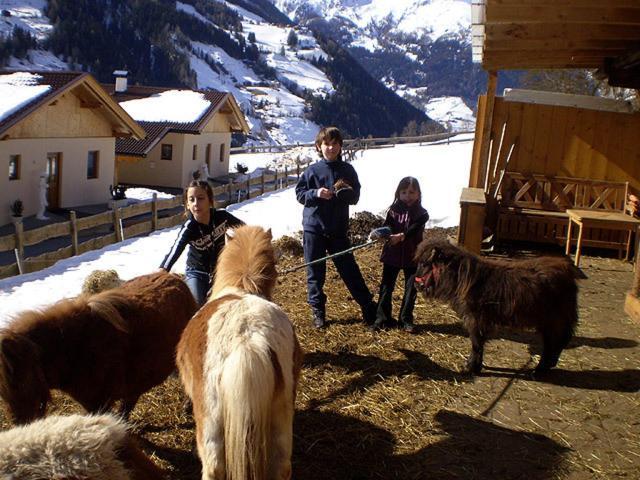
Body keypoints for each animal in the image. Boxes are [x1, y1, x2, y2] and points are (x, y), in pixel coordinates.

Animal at [176, 225, 304, 480]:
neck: (240, 287)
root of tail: (247, 339)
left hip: (211, 429)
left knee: (214, 467)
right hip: (282, 421)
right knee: (282, 466)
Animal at [416, 240, 580, 376]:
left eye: (424, 264)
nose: (417, 284)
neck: (464, 280)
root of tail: (569, 275)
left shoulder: (476, 320)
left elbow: (476, 343)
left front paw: (471, 368)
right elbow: (478, 343)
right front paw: (474, 366)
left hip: (554, 321)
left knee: (555, 342)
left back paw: (539, 371)